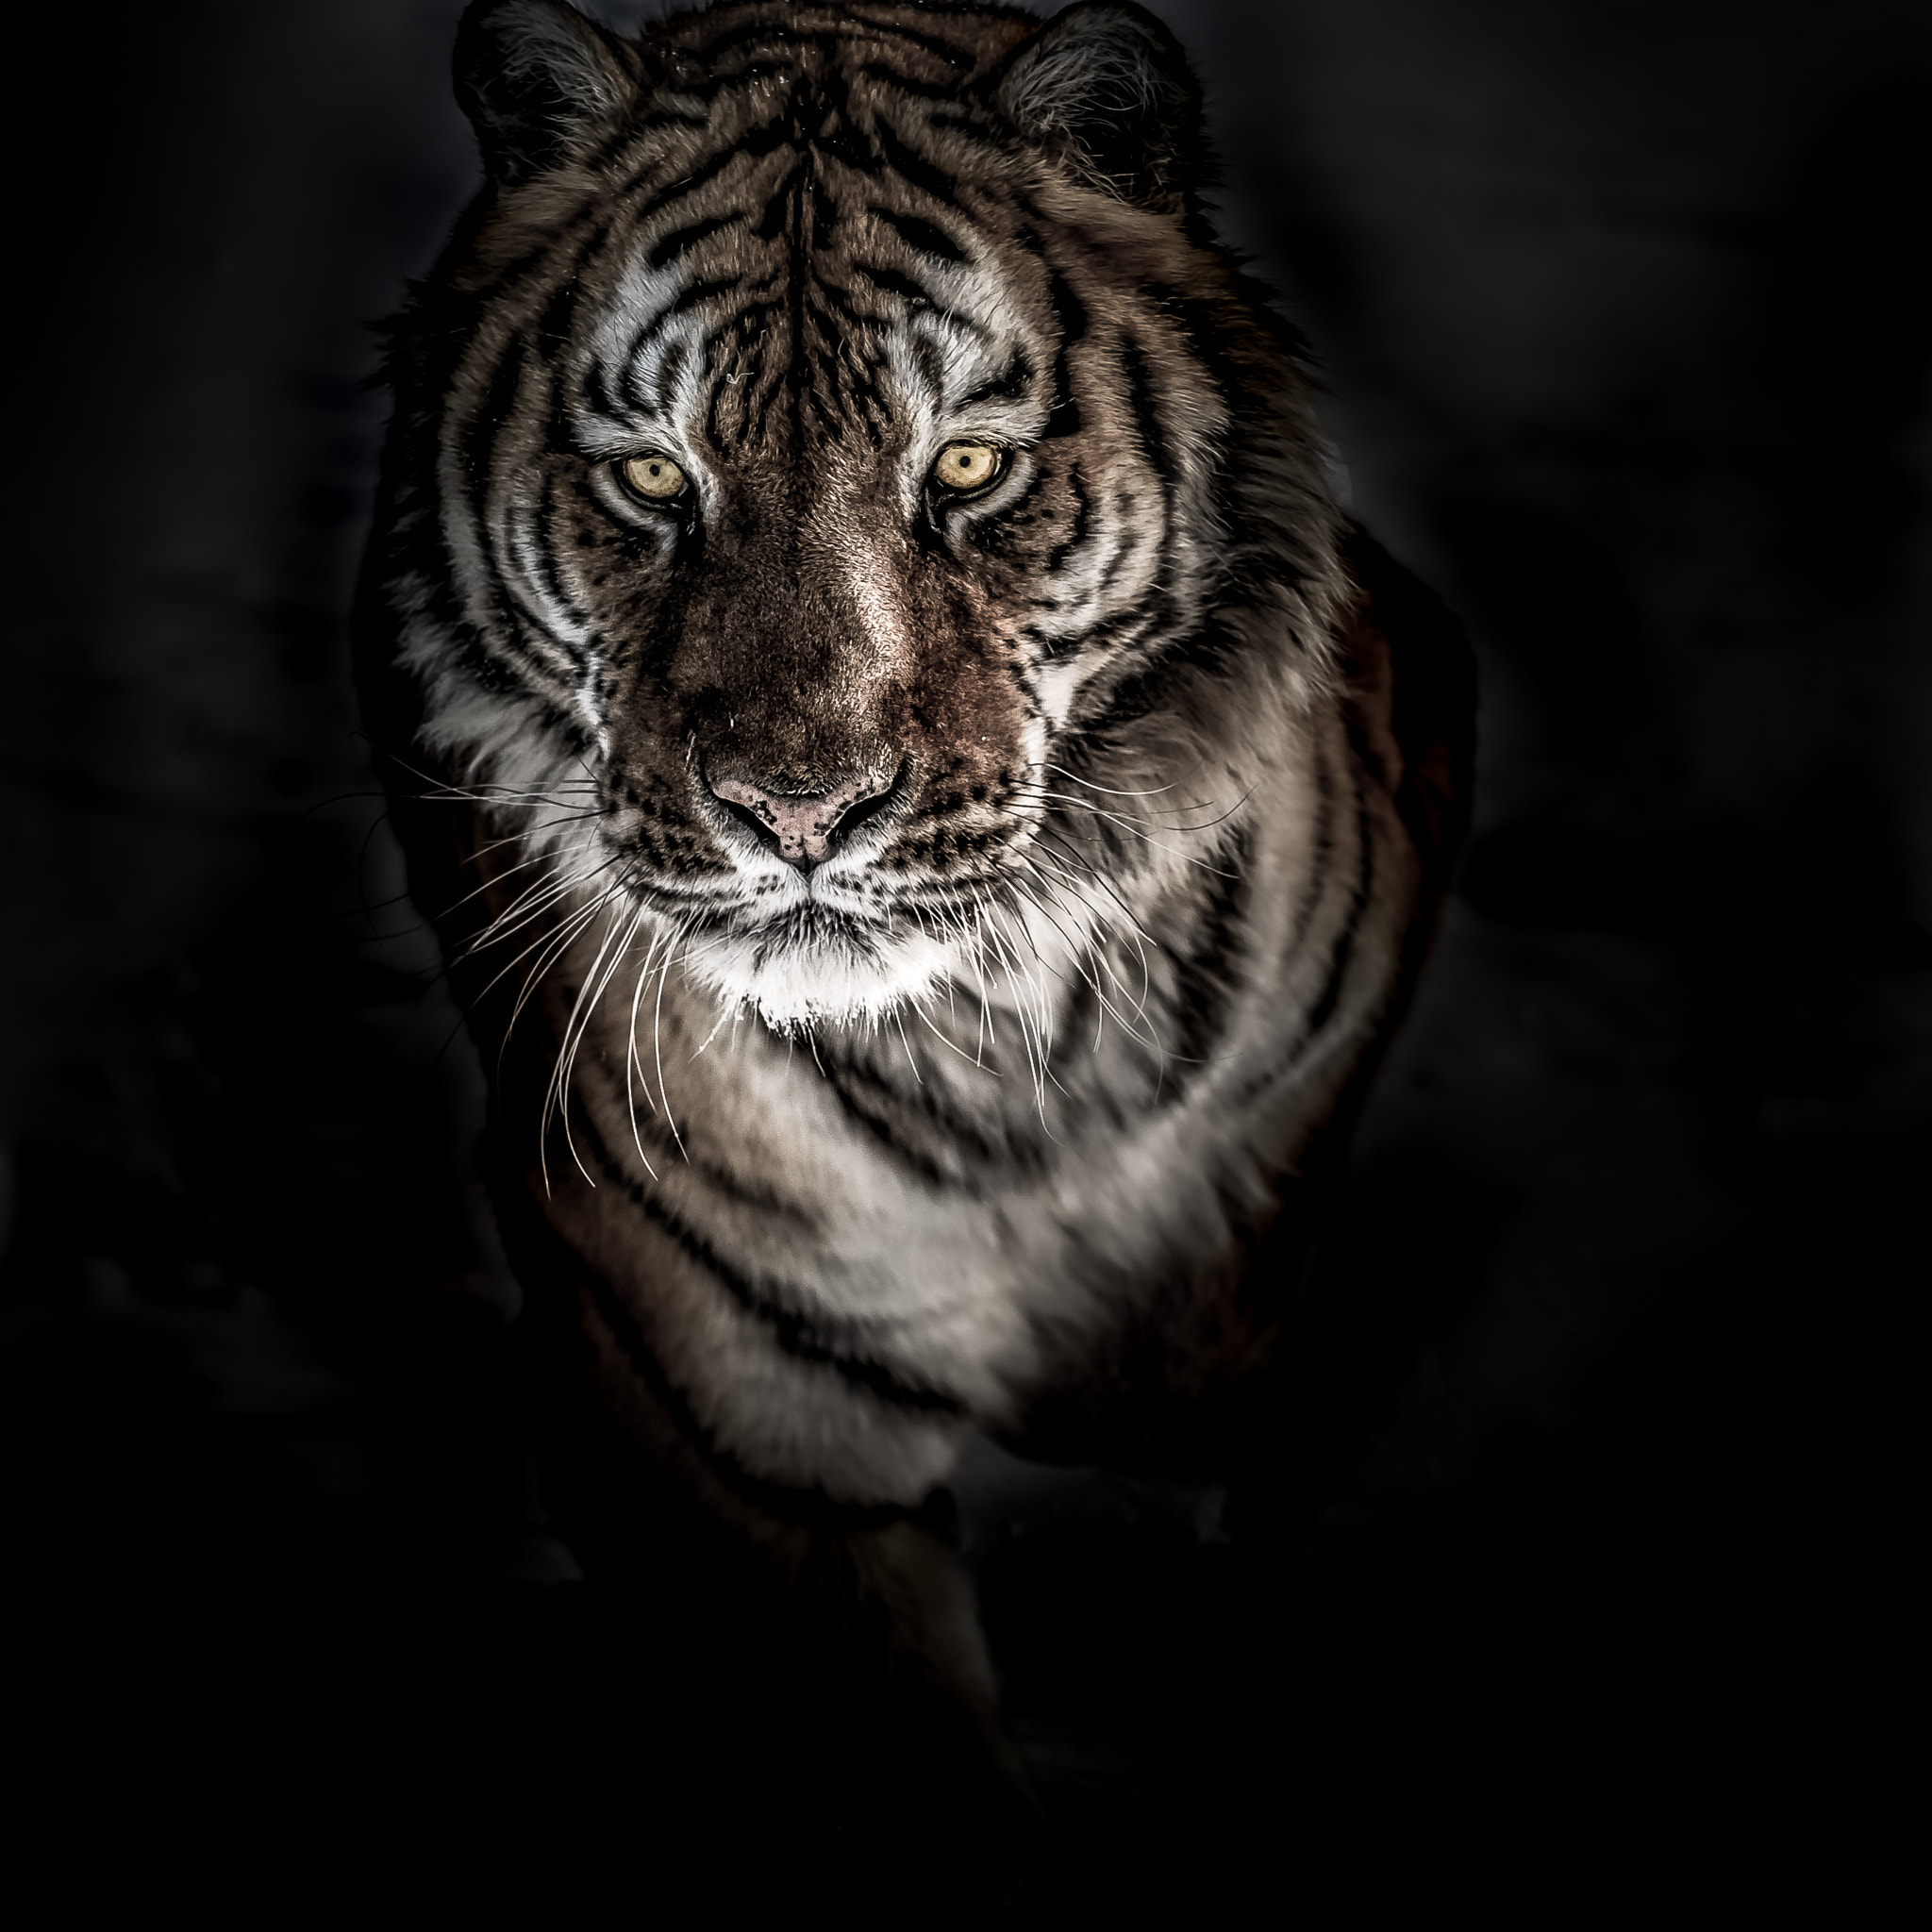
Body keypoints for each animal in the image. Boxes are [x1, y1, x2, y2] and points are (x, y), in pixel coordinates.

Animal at [354, 0, 1474, 1808]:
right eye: (653, 481)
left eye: (964, 465)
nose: (799, 808)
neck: (993, 1045)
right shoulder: (728, 1426)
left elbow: (1189, 1335)